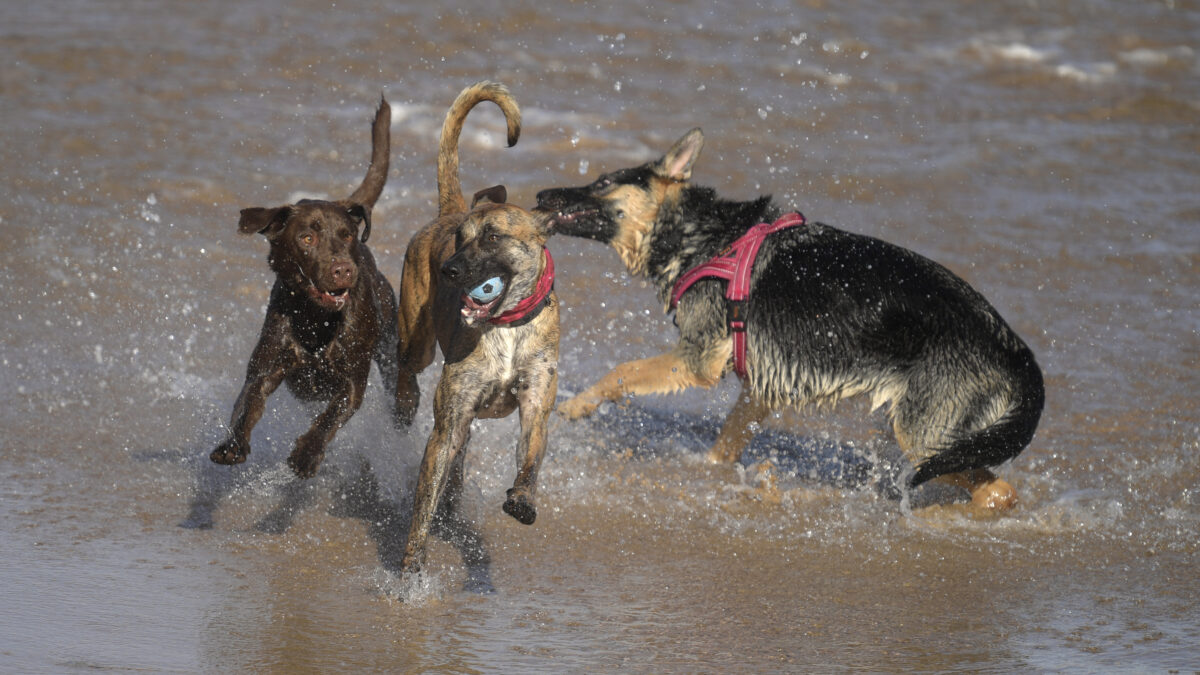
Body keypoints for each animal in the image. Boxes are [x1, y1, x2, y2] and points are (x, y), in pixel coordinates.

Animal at [396, 79, 559, 571]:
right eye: (460, 240)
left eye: (492, 237)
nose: (448, 270)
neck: (505, 326)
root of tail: (448, 209)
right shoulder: (447, 425)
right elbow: (423, 503)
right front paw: (411, 569)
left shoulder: (536, 401)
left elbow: (530, 455)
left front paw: (522, 499)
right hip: (418, 338)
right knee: (405, 364)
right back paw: (404, 400)